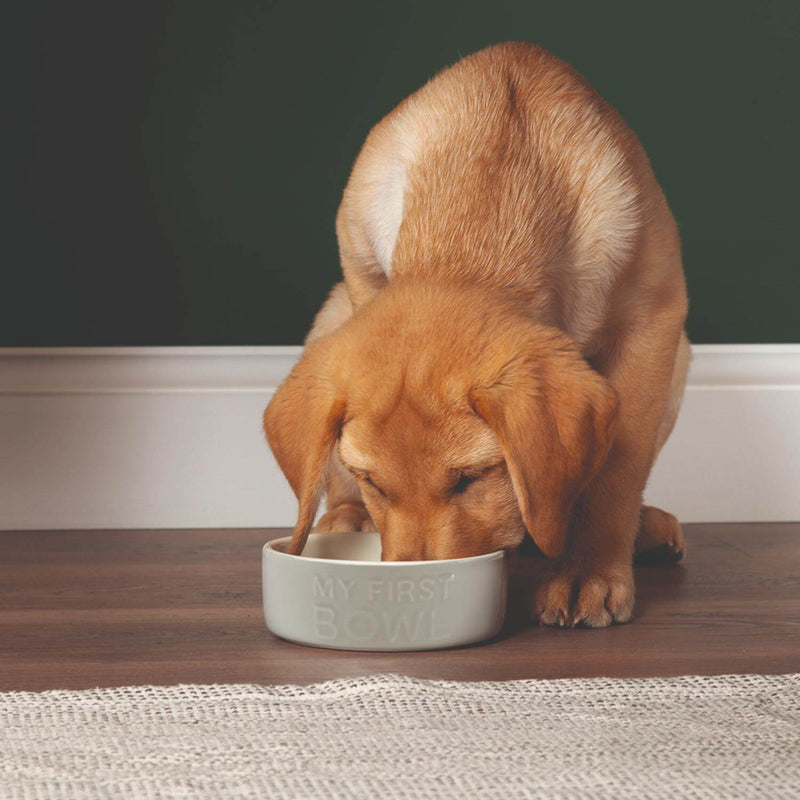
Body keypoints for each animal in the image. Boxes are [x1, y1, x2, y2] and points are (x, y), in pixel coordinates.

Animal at [262, 42, 688, 632]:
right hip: (331, 311)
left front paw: (590, 572)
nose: (412, 588)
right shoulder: (359, 274)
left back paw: (646, 527)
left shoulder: (652, 319)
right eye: (375, 483)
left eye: (470, 478)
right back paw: (344, 517)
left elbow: (616, 472)